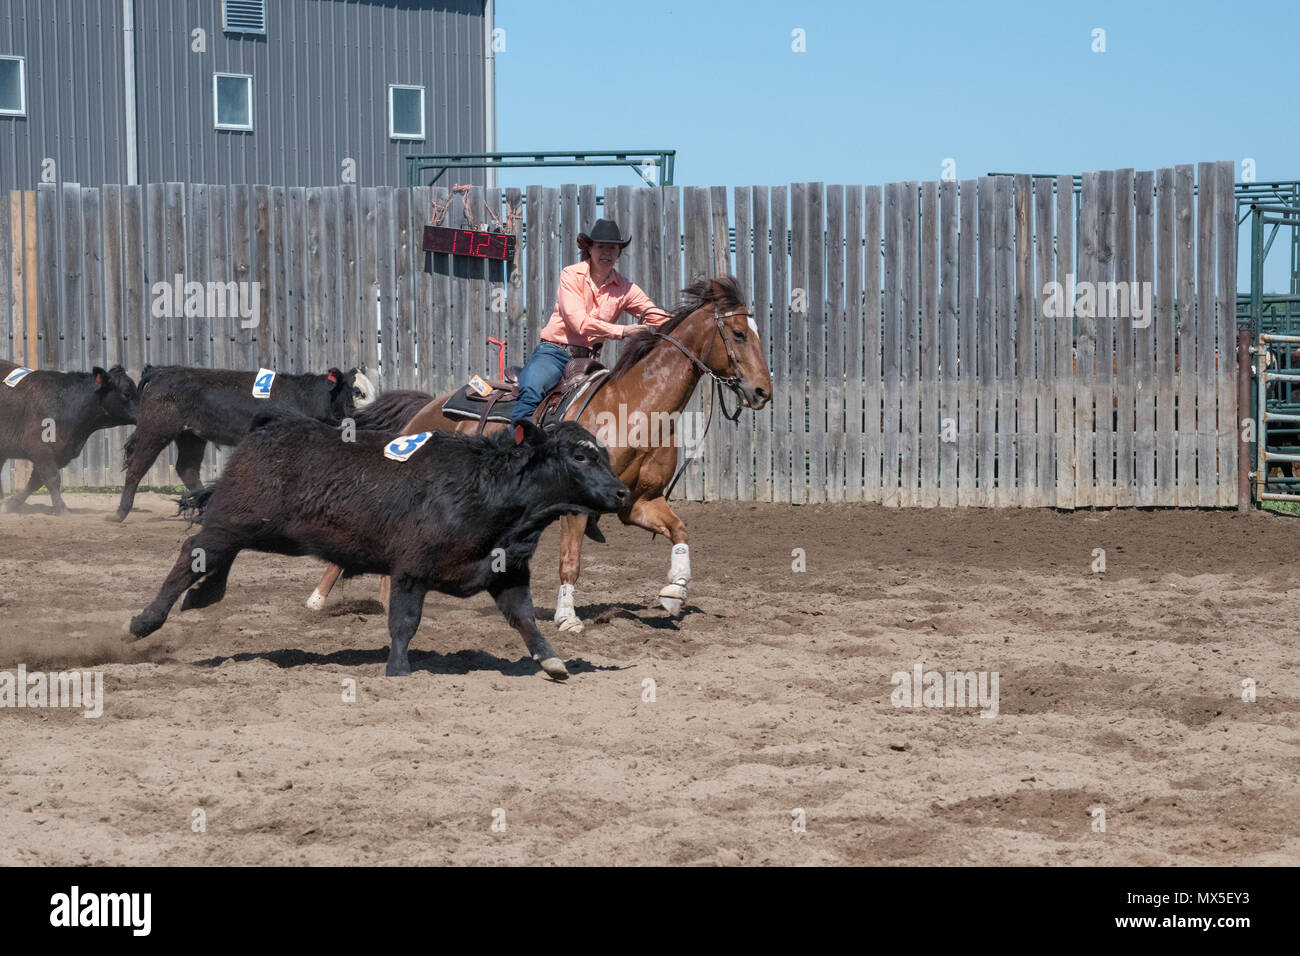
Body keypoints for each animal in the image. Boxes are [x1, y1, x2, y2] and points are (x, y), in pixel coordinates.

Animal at [0, 358, 139, 512]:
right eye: (127, 393)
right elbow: (52, 478)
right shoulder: (38, 448)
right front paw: (61, 509)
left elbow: (36, 482)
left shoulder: (61, 454)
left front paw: (12, 504)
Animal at [111, 364, 377, 522]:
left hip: (191, 436)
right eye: (357, 392)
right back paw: (120, 512)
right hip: (155, 430)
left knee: (187, 469)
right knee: (137, 467)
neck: (304, 397)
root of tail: (161, 371)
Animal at [126, 416, 629, 676]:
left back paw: (201, 598)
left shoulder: (506, 572)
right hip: (235, 520)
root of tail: (265, 429)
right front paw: (399, 669)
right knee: (193, 553)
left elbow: (524, 618)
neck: (489, 489)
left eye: (602, 453)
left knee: (213, 558)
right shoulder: (411, 568)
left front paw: (552, 661)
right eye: (580, 456)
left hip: (251, 528)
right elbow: (404, 622)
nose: (623, 493)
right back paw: (145, 621)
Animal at [304, 277, 769, 632]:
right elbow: (570, 563)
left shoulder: (639, 502)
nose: (763, 392)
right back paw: (317, 600)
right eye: (739, 334)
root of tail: (426, 408)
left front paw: (674, 592)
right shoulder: (578, 507)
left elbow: (679, 531)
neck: (633, 408)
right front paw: (567, 618)